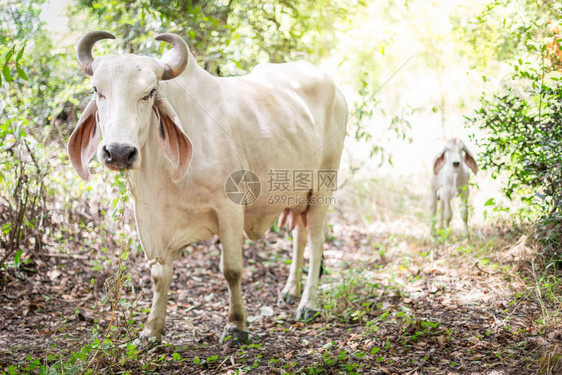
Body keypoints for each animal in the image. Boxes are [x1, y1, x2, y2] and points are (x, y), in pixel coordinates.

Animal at [66, 31, 346, 344]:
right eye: (96, 90)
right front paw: (151, 331)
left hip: (323, 185)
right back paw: (289, 291)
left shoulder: (230, 208)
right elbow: (160, 275)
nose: (118, 152)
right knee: (299, 235)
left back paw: (308, 304)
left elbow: (231, 269)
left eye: (149, 92)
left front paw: (236, 326)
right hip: (297, 193)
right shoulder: (154, 223)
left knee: (316, 240)